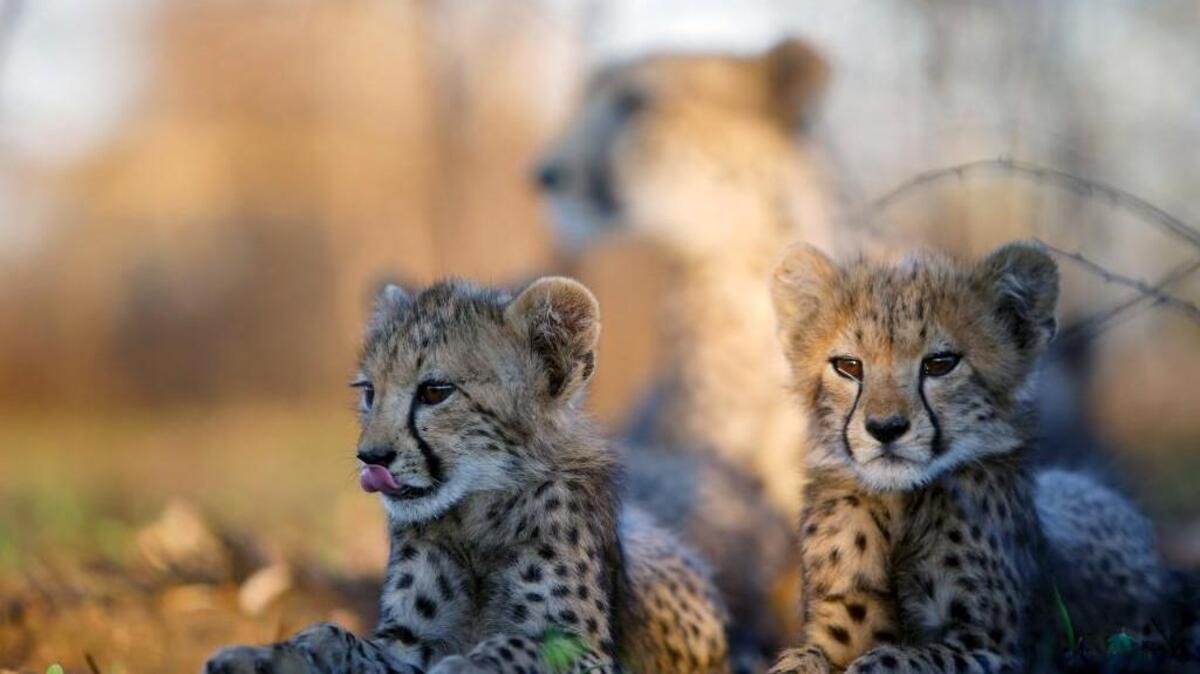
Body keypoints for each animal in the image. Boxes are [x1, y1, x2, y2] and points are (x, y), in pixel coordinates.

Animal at [204, 277, 730, 674]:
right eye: (370, 391)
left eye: (436, 391)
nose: (371, 458)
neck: (477, 513)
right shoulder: (407, 642)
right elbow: (335, 636)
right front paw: (272, 654)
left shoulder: (594, 655)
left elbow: (524, 644)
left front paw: (468, 664)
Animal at [766, 241, 1191, 673]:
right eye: (848, 366)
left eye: (939, 364)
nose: (885, 428)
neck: (902, 505)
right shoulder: (835, 633)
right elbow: (798, 661)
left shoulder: (993, 646)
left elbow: (899, 659)